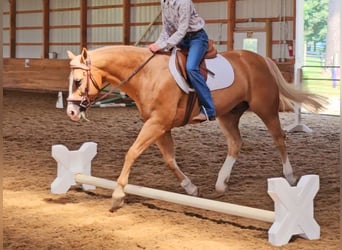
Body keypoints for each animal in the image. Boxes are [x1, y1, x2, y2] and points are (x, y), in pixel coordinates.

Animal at [66, 45, 326, 211]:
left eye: (78, 81)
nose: (71, 113)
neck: (148, 75)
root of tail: (260, 59)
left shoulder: (157, 123)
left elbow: (132, 153)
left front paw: (118, 194)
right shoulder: (159, 126)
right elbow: (169, 159)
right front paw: (191, 189)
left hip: (266, 109)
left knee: (279, 138)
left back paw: (290, 176)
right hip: (228, 115)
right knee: (235, 144)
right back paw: (221, 184)